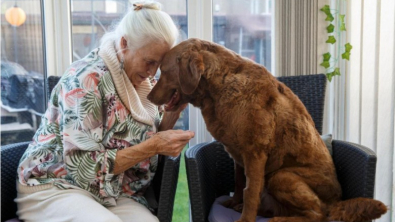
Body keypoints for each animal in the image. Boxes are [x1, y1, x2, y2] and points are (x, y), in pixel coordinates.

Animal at [147, 38, 388, 222]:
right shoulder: (237, 154)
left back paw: (279, 219)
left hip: (282, 176)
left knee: (318, 214)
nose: (148, 96)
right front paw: (234, 203)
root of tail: (337, 203)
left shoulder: (255, 153)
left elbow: (251, 191)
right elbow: (239, 182)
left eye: (163, 71)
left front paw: (245, 218)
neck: (220, 87)